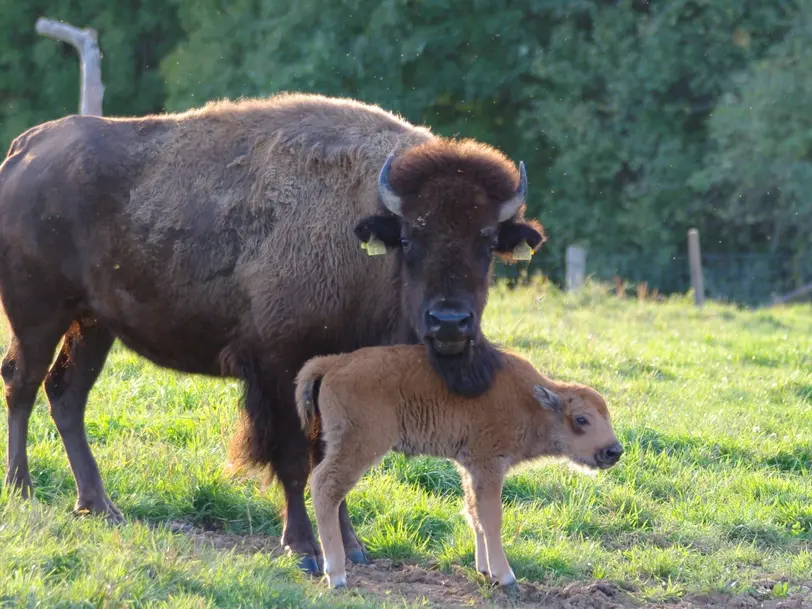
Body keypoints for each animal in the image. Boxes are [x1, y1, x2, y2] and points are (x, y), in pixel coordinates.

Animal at [3, 92, 544, 572]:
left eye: (487, 243)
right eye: (411, 238)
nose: (450, 323)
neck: (362, 235)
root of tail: (24, 150)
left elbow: (330, 464)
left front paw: (351, 547)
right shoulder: (280, 370)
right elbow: (294, 458)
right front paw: (303, 548)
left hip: (93, 324)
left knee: (65, 393)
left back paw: (98, 505)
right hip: (39, 315)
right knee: (22, 384)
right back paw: (21, 489)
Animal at [296, 344, 620, 588]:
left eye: (607, 415)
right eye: (581, 419)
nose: (613, 451)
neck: (531, 402)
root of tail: (335, 363)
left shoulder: (470, 468)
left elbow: (474, 513)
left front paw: (484, 569)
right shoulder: (489, 467)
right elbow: (491, 518)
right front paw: (506, 577)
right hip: (361, 446)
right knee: (324, 487)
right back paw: (337, 576)